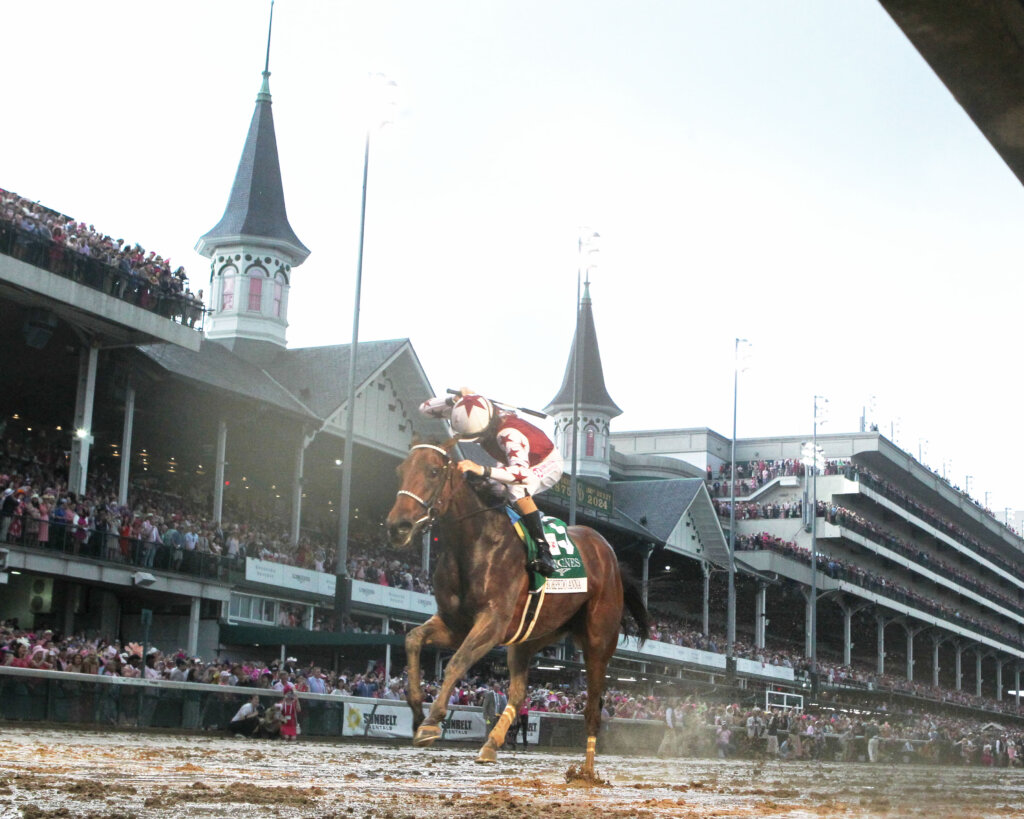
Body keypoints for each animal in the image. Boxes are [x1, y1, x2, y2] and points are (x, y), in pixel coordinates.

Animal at [385, 442, 647, 782]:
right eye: (400, 470)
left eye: (432, 471)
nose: (397, 527)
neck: (475, 543)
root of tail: (610, 556)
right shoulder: (455, 624)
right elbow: (413, 639)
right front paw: (417, 710)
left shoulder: (492, 623)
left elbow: (456, 662)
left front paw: (432, 721)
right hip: (531, 636)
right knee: (520, 692)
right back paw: (491, 744)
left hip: (598, 643)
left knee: (592, 708)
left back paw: (587, 773)